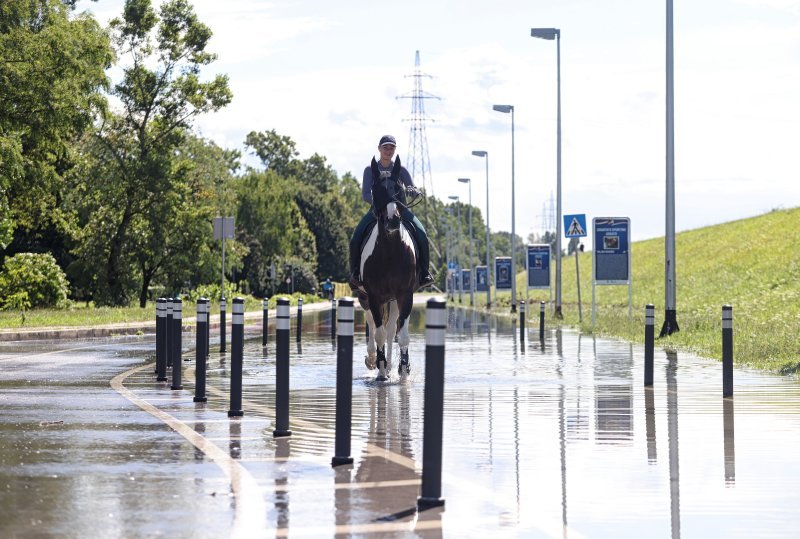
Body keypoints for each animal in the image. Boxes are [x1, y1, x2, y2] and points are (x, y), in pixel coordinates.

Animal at [356, 157, 418, 384]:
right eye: (376, 190)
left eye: (399, 189)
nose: (393, 220)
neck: (391, 251)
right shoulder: (374, 296)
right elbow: (378, 333)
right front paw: (381, 371)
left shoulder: (405, 295)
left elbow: (402, 335)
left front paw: (403, 371)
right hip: (364, 296)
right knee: (372, 323)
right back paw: (373, 360)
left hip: (393, 299)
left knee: (392, 330)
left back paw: (392, 365)